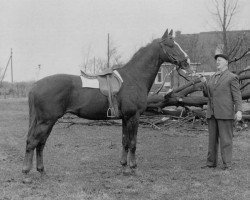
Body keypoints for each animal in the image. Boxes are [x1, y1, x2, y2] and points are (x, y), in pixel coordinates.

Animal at [22, 28, 191, 180]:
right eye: (171, 45)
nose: (187, 62)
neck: (134, 78)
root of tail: (35, 86)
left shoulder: (125, 118)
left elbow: (125, 142)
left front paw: (124, 167)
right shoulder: (134, 116)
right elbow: (133, 142)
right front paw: (133, 168)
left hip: (47, 122)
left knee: (40, 144)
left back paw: (41, 171)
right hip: (46, 121)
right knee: (33, 142)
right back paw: (26, 174)